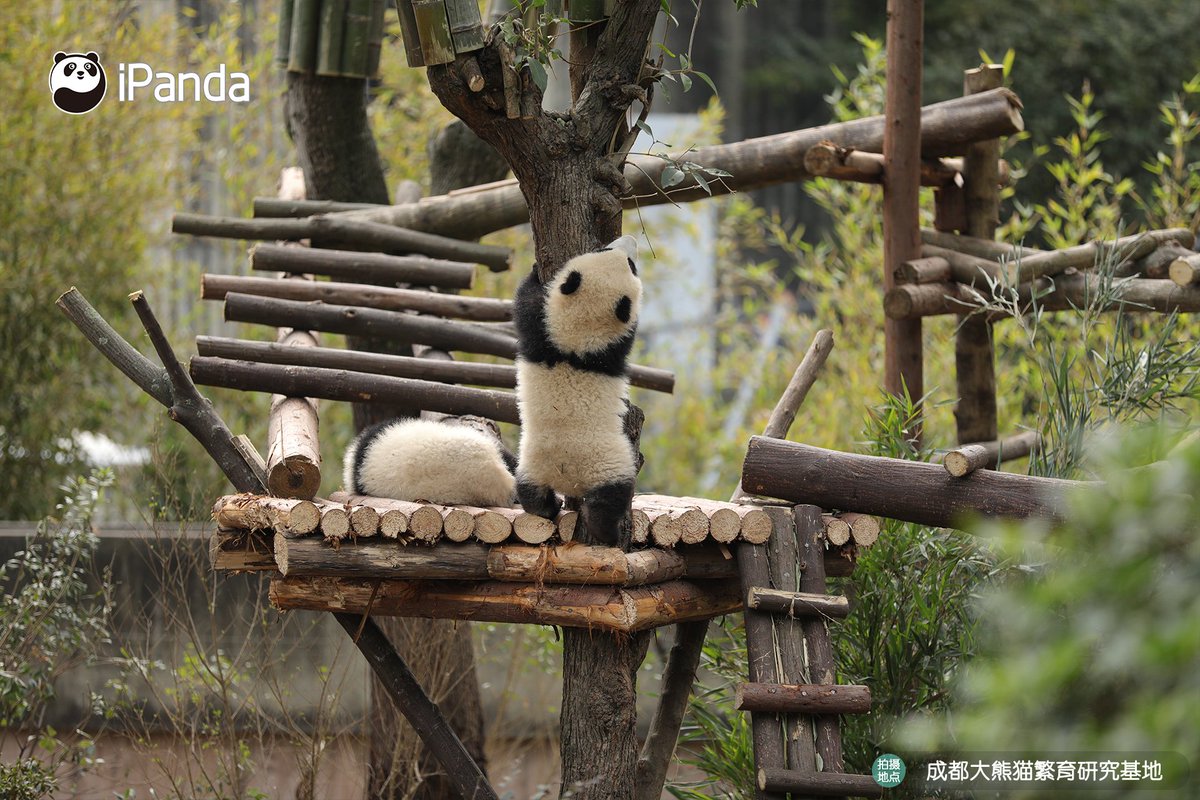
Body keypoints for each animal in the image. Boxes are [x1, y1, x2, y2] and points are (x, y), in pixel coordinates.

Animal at [513, 235, 642, 546]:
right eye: (631, 265)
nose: (631, 240)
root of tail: (567, 477)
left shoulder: (542, 334)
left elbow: (527, 306)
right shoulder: (611, 348)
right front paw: (534, 272)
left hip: (532, 461)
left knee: (530, 492)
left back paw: (547, 507)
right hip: (609, 463)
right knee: (610, 500)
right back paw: (607, 533)